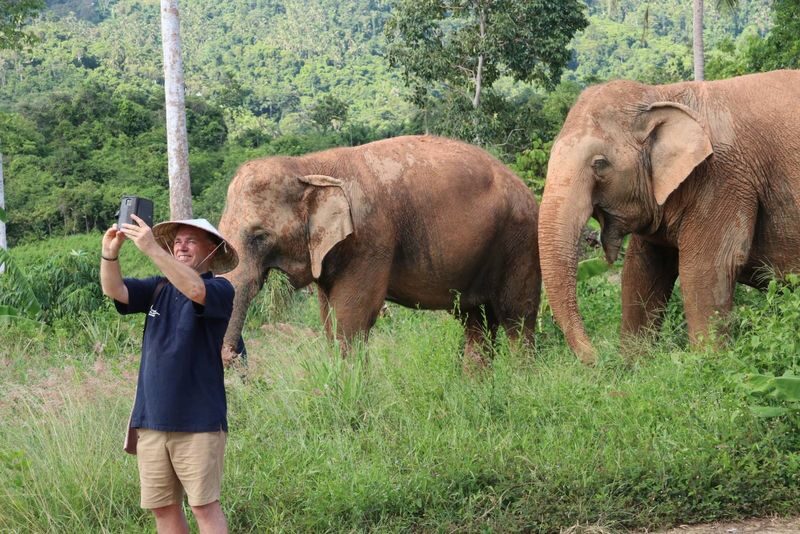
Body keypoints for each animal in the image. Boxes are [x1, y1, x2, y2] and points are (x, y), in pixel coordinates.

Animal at [218, 135, 541, 365]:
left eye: (259, 236)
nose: (231, 356)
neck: (309, 167)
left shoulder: (370, 240)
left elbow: (351, 318)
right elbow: (329, 319)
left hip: (520, 242)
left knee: (517, 319)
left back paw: (518, 383)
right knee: (477, 323)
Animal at [538, 70, 800, 363]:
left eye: (599, 164)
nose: (596, 357)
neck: (661, 94)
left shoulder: (724, 179)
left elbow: (706, 268)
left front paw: (708, 361)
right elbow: (641, 269)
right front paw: (633, 364)